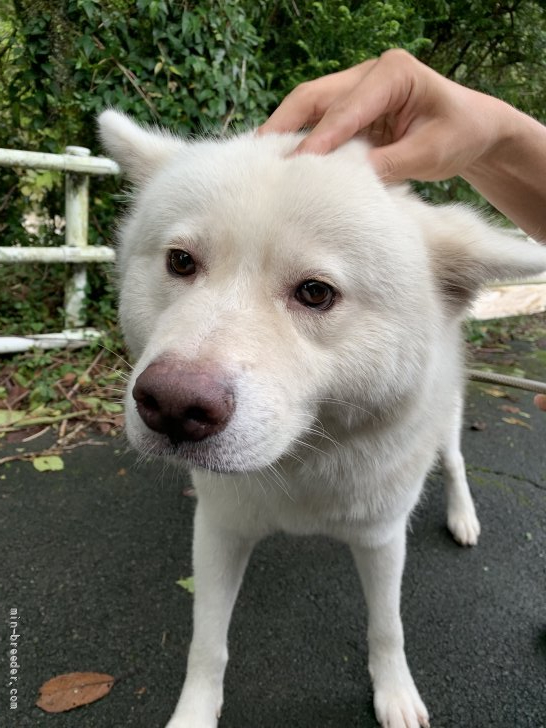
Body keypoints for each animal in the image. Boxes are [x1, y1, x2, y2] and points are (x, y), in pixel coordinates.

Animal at [98, 109, 544, 728]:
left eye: (315, 293)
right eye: (181, 262)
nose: (172, 406)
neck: (305, 457)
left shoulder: (382, 536)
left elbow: (387, 628)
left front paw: (394, 691)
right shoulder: (220, 528)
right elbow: (207, 643)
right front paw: (195, 711)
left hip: (449, 420)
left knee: (453, 462)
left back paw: (462, 515)